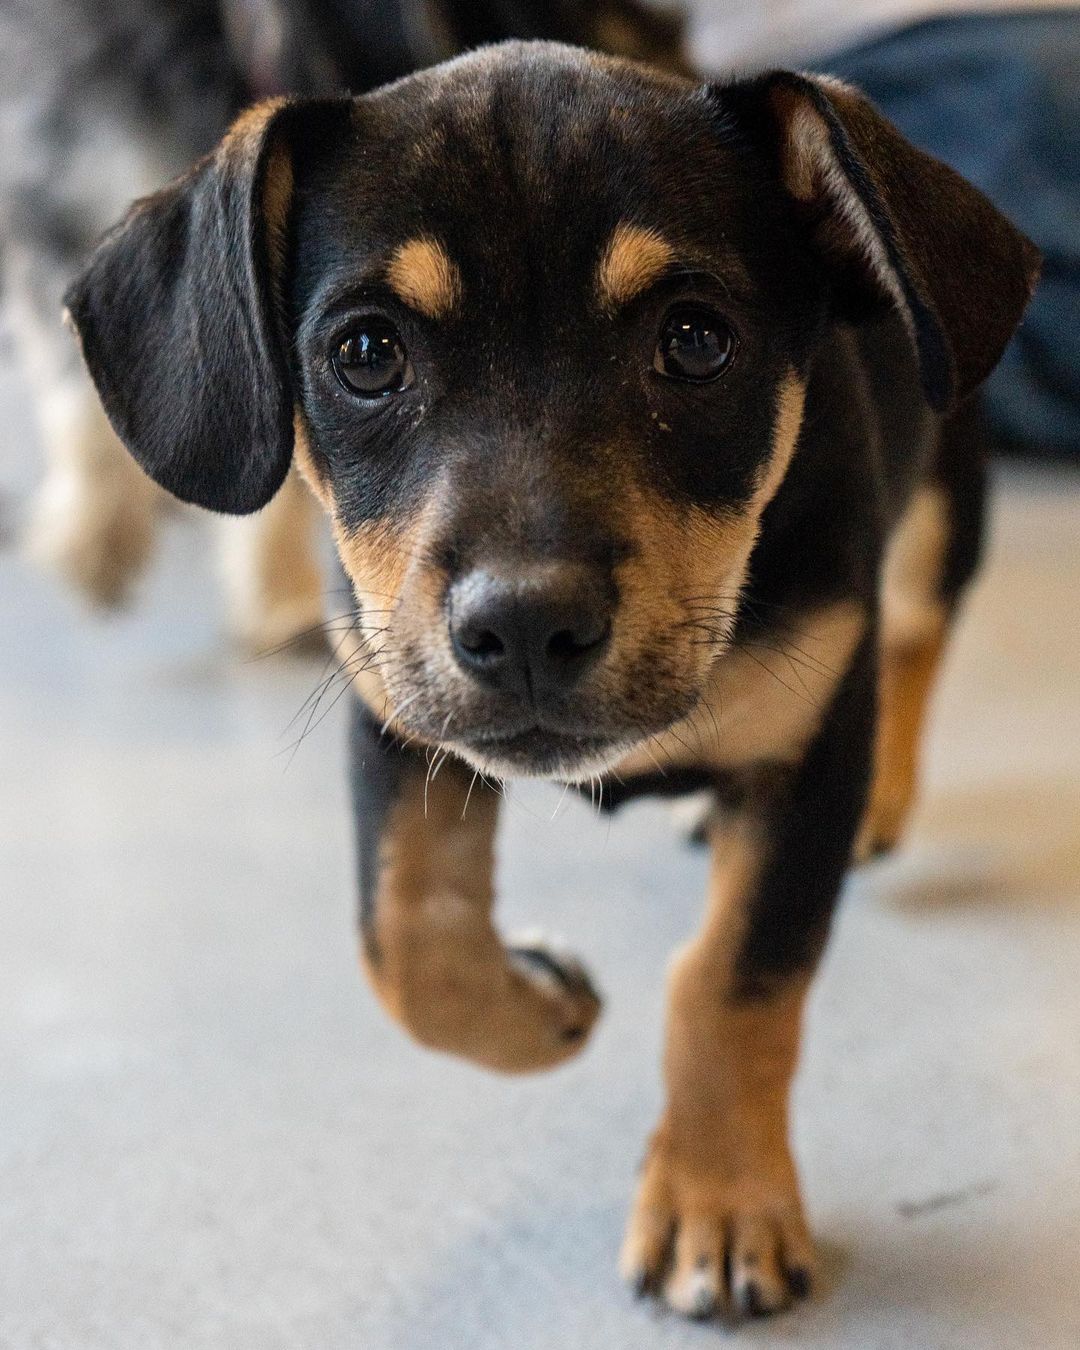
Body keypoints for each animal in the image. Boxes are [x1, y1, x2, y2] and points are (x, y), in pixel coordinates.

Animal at [65, 39, 1036, 1317]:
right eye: (365, 353)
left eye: (695, 339)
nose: (525, 627)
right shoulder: (394, 714)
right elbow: (405, 939)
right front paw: (540, 1007)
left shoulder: (810, 749)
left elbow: (732, 982)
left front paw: (721, 1205)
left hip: (940, 505)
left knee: (921, 635)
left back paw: (885, 797)